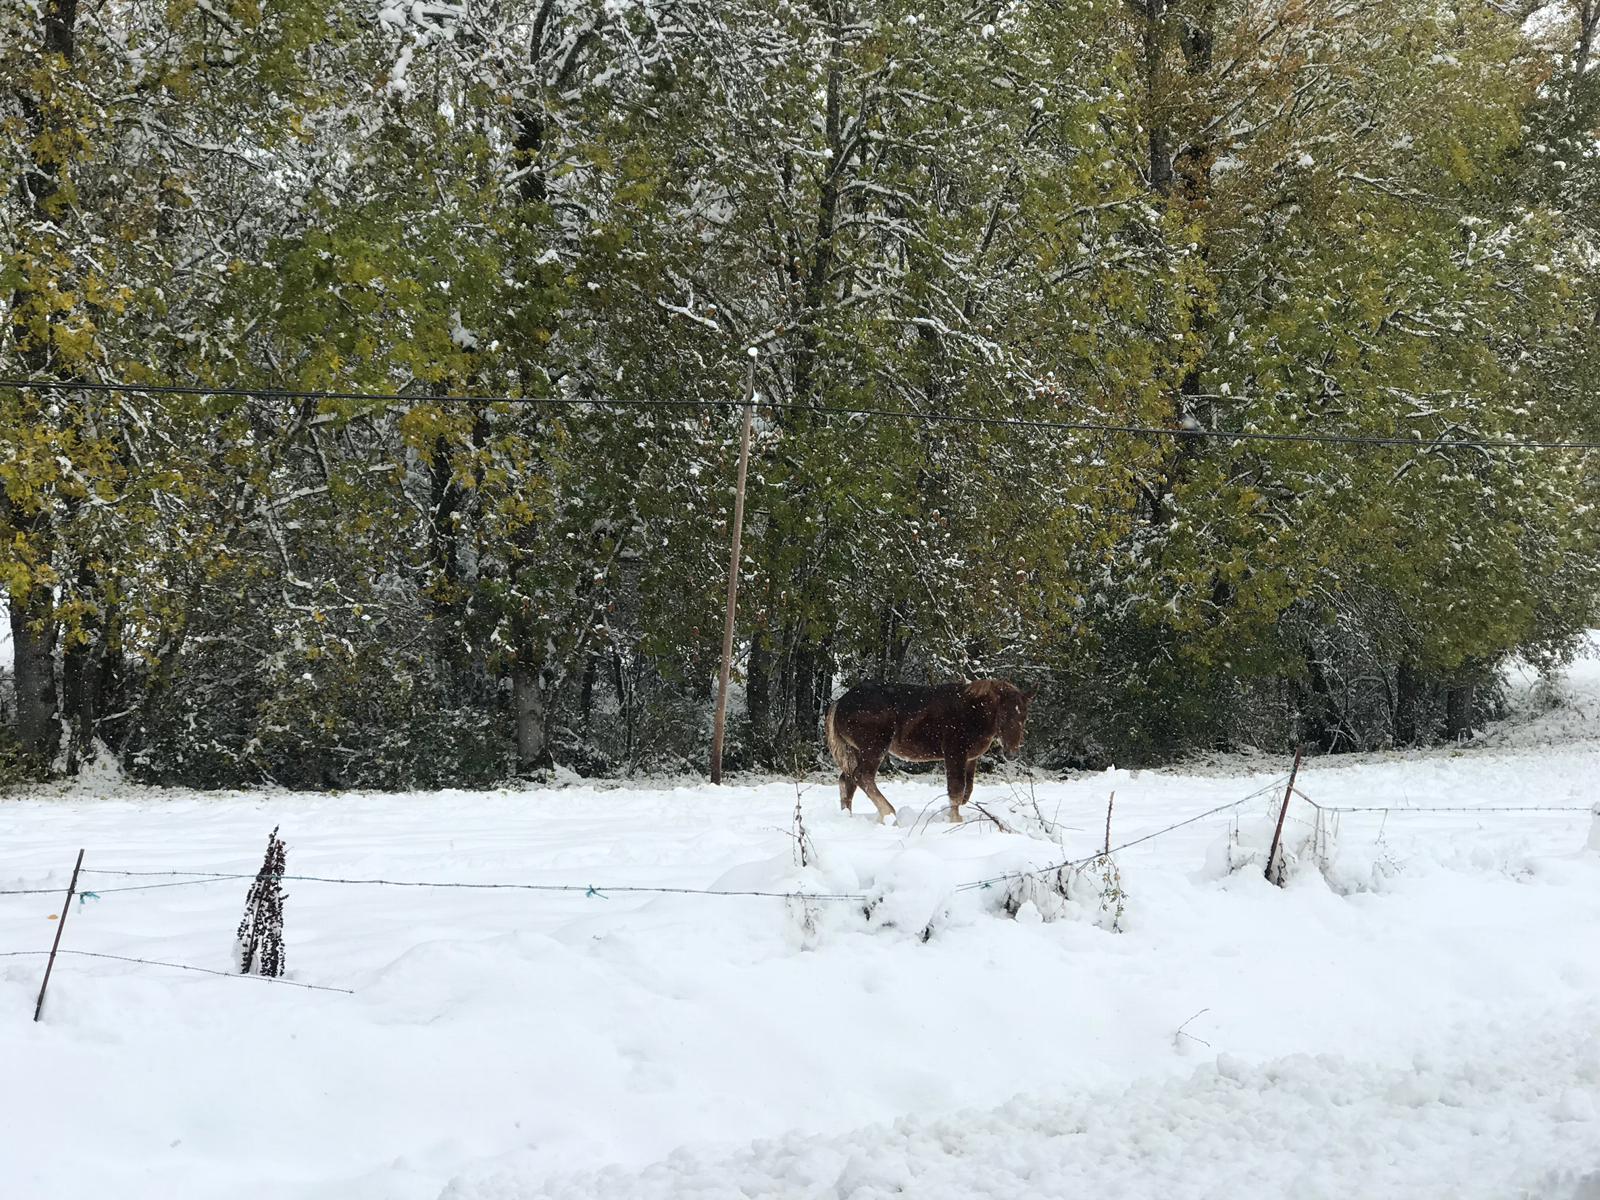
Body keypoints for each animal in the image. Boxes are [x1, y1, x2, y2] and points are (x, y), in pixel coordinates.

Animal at [825, 681, 1036, 825]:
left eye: (1024, 716)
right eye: (1004, 714)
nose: (1012, 753)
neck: (973, 711)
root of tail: (840, 702)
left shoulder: (970, 759)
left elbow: (967, 790)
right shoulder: (954, 753)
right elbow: (956, 789)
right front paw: (955, 820)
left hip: (856, 752)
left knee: (847, 781)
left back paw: (848, 816)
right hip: (874, 748)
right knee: (863, 776)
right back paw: (890, 814)